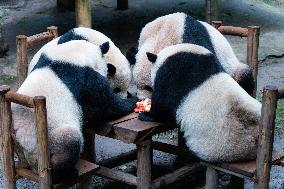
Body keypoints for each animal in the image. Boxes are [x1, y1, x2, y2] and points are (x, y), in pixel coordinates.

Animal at [12, 39, 137, 183]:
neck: (71, 56)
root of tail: (31, 164)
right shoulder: (85, 79)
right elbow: (104, 106)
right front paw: (133, 101)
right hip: (50, 140)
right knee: (70, 142)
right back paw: (65, 174)